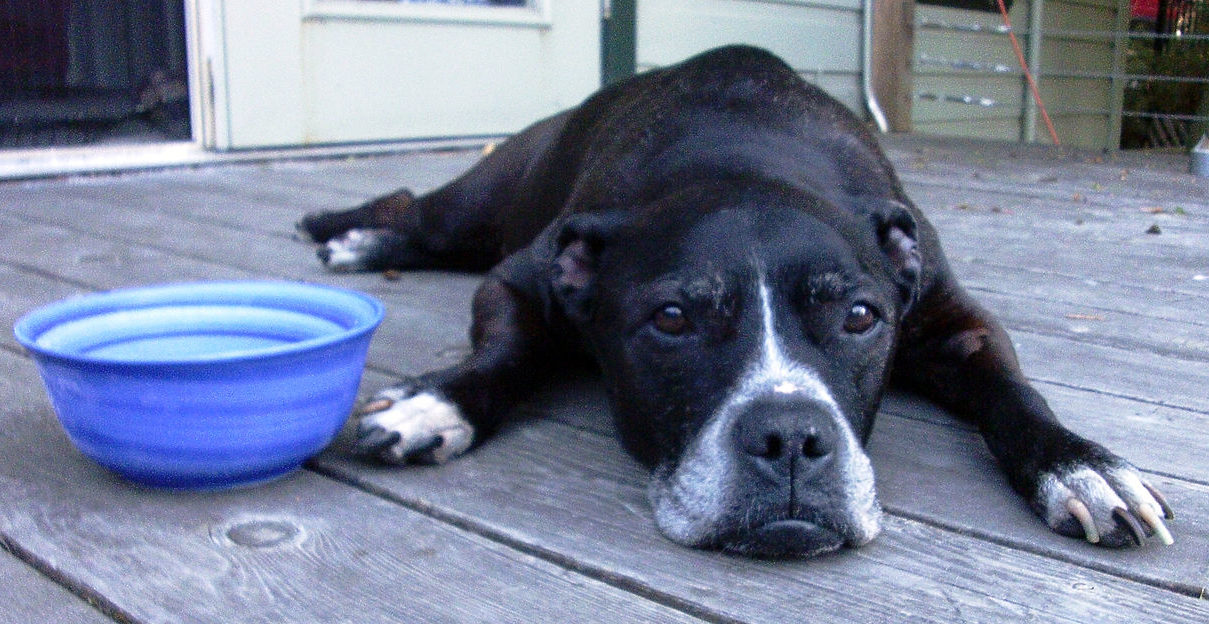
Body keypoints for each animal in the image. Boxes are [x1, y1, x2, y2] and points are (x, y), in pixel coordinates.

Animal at [297, 46, 1175, 558]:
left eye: (860, 317)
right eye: (671, 321)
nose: (790, 438)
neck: (742, 155)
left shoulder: (954, 323)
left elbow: (1013, 392)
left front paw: (1081, 467)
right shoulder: (518, 279)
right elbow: (504, 353)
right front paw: (436, 403)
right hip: (481, 201)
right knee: (414, 208)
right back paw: (345, 233)